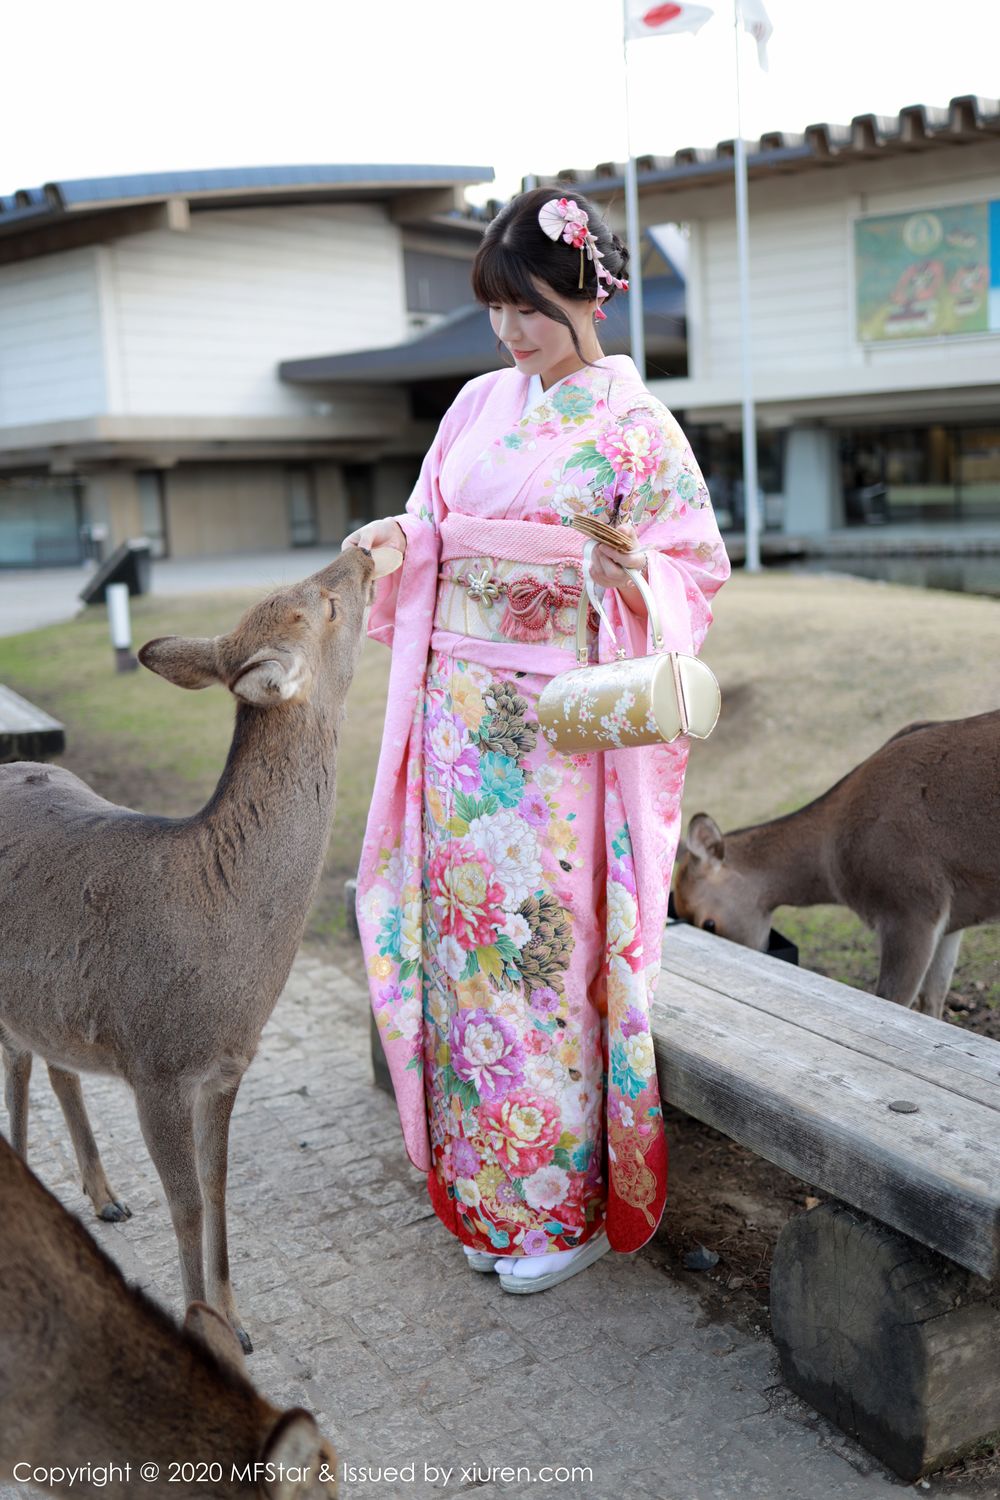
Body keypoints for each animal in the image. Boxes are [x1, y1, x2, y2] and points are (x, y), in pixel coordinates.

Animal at [0, 546, 374, 1356]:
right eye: (326, 604)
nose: (362, 551)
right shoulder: (155, 1066)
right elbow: (185, 1204)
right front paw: (204, 1327)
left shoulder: (228, 1068)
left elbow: (218, 1187)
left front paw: (236, 1318)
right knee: (21, 1063)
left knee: (47, 1060)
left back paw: (101, 1196)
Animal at [671, 705, 1000, 1014]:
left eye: (709, 924)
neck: (832, 863)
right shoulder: (953, 918)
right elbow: (933, 998)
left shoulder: (912, 905)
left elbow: (893, 1000)